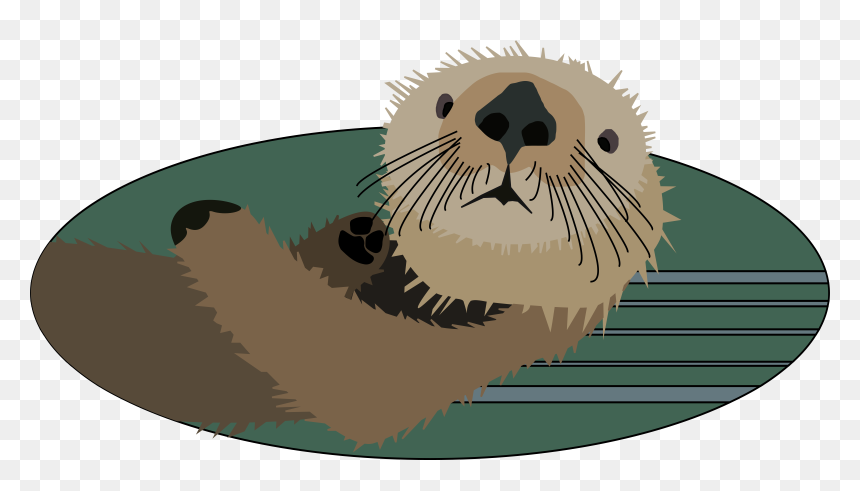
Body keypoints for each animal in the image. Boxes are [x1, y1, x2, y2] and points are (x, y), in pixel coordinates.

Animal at [31, 44, 677, 449]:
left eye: (609, 140)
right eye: (444, 103)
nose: (518, 111)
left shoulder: (471, 346)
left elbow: (330, 358)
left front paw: (207, 218)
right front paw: (360, 237)